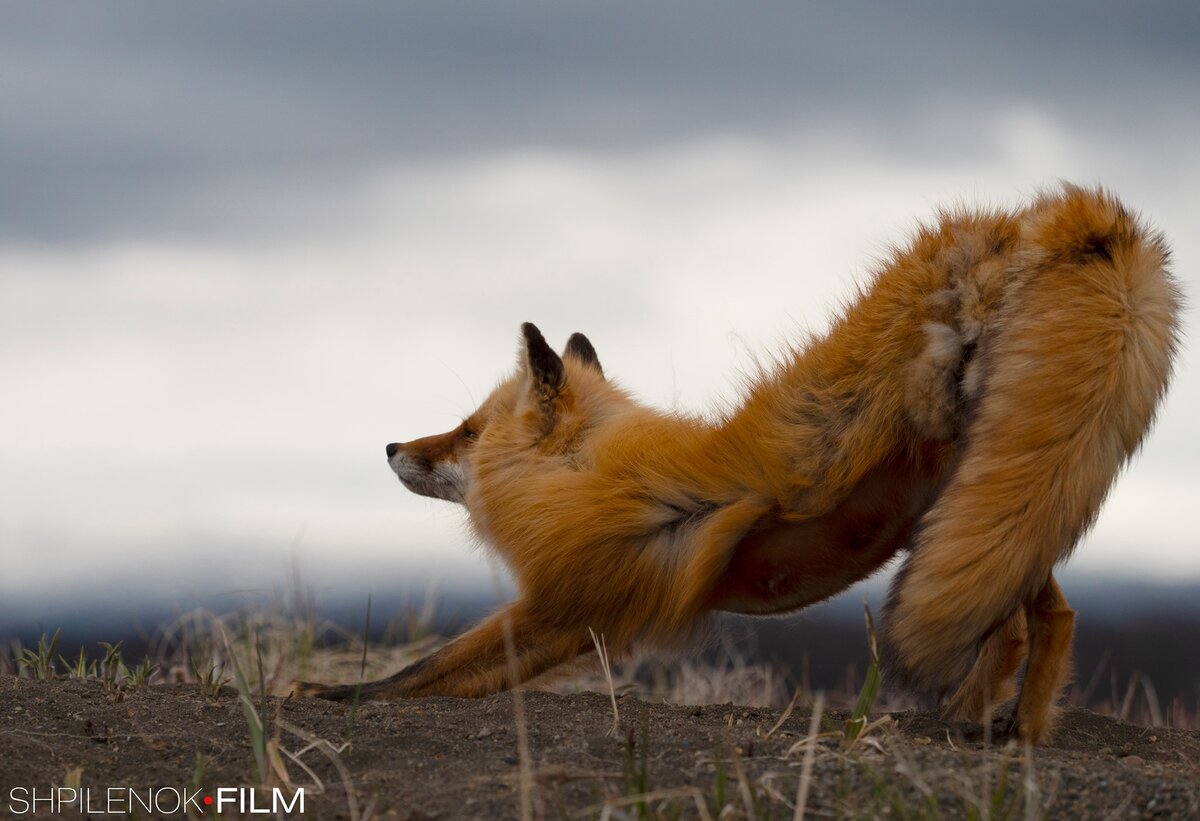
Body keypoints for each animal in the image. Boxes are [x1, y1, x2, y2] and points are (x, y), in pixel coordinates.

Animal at [295, 184, 1176, 744]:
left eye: (467, 431)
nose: (392, 447)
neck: (579, 479)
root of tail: (1010, 223)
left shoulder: (567, 607)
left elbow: (424, 669)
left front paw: (330, 689)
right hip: (994, 496)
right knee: (1043, 615)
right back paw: (1010, 726)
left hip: (978, 475)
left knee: (1031, 619)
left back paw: (995, 724)